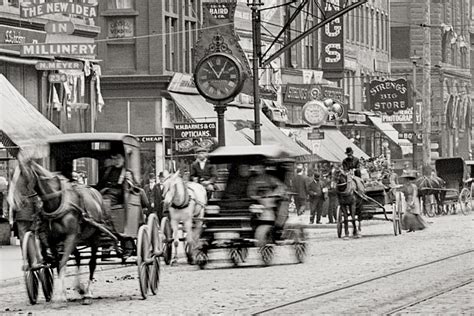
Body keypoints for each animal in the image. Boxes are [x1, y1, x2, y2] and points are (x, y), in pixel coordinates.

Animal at [12, 157, 113, 304]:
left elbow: (64, 261)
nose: (14, 202)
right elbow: (59, 263)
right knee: (77, 256)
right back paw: (80, 288)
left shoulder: (70, 236)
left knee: (92, 263)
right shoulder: (53, 240)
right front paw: (62, 293)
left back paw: (88, 292)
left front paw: (61, 294)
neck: (56, 202)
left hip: (94, 236)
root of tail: (96, 193)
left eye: (24, 174)